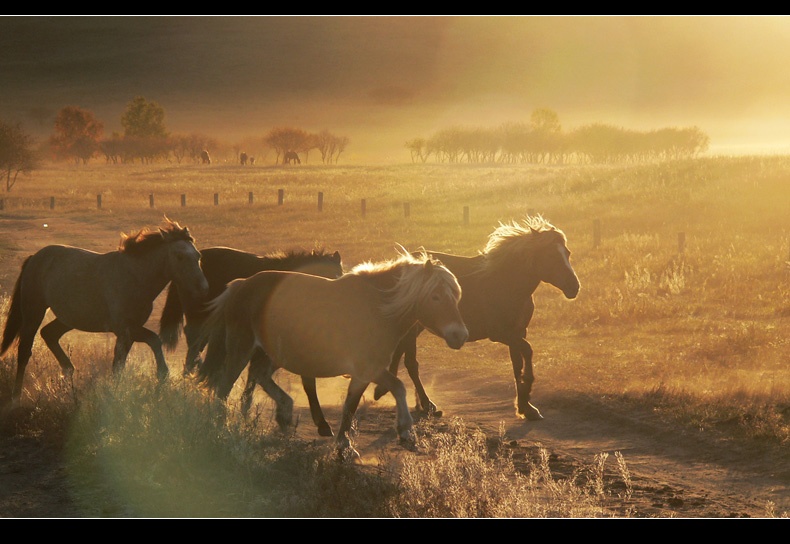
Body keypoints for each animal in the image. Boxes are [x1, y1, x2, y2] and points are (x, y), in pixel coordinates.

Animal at [0, 218, 209, 404]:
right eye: (180, 256)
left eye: (198, 256)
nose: (203, 288)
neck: (135, 277)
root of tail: (34, 258)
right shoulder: (124, 330)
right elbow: (145, 347)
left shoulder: (130, 332)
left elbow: (123, 362)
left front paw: (160, 378)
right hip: (33, 311)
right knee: (24, 350)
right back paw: (17, 397)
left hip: (69, 318)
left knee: (49, 334)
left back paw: (68, 375)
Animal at [198, 251, 470, 460]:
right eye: (435, 297)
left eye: (456, 297)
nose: (460, 335)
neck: (377, 310)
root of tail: (241, 284)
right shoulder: (368, 368)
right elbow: (398, 387)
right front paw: (405, 431)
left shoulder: (363, 374)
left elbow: (350, 406)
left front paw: (344, 445)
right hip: (241, 348)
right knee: (225, 387)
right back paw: (221, 427)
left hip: (273, 353)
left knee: (260, 375)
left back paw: (285, 411)